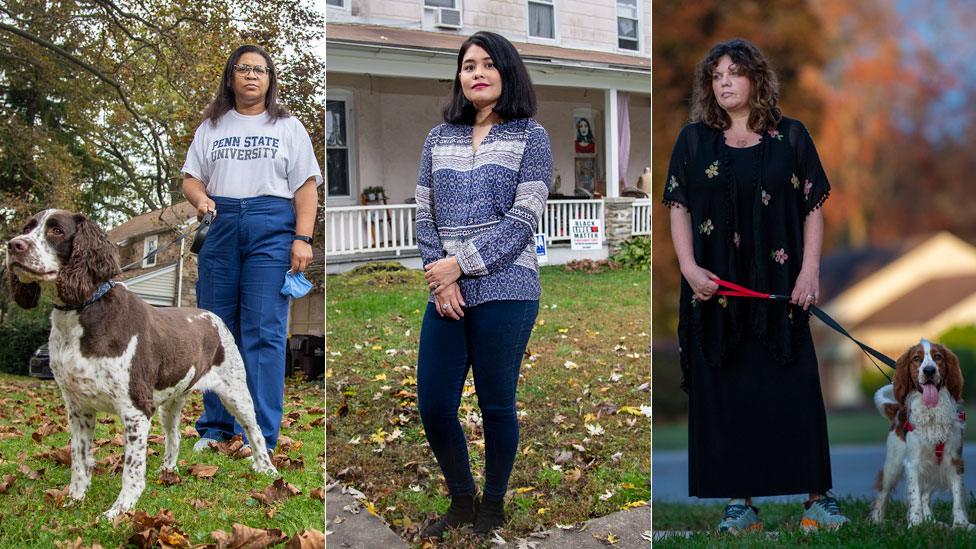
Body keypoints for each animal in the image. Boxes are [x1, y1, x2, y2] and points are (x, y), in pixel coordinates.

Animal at [5, 209, 276, 520]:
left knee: (256, 433)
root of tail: (213, 317)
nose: (12, 246)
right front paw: (74, 499)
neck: (83, 313)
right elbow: (79, 461)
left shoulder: (136, 409)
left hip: (236, 393)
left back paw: (267, 469)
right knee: (174, 437)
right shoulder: (78, 409)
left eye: (57, 230)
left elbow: (131, 469)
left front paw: (120, 510)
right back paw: (169, 470)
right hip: (171, 402)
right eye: (27, 227)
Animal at [868, 338, 968, 528]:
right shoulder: (913, 463)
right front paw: (915, 524)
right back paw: (876, 520)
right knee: (883, 492)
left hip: (932, 469)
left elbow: (958, 496)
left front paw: (961, 524)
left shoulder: (954, 460)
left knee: (925, 495)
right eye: (916, 358)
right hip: (893, 465)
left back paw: (931, 522)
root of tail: (898, 412)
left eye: (938, 357)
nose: (929, 370)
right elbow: (914, 496)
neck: (932, 413)